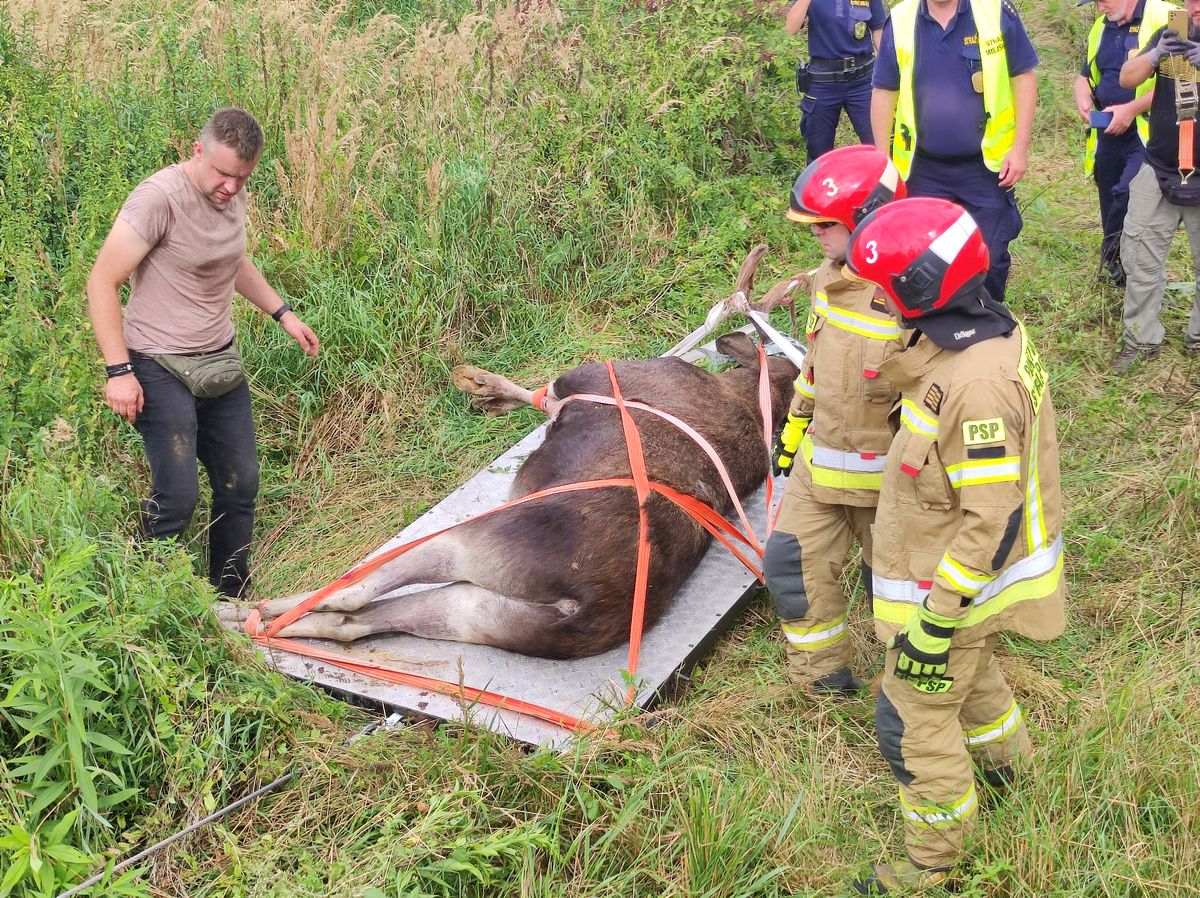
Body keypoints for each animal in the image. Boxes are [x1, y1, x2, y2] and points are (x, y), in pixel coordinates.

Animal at [220, 252, 811, 657]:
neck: (755, 402)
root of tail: (586, 605)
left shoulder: (578, 380)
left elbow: (538, 393)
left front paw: (479, 383)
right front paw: (481, 387)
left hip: (469, 545)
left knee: (350, 594)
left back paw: (245, 613)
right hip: (477, 614)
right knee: (354, 621)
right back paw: (243, 618)